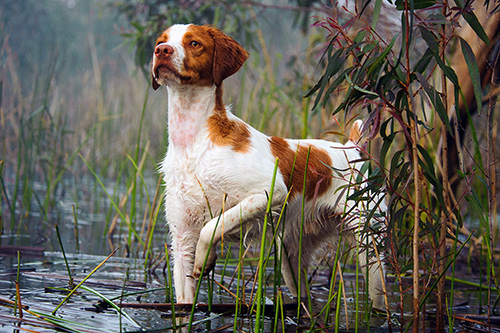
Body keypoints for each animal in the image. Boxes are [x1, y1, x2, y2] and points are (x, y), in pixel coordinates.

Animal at [152, 22, 386, 308]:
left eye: (194, 43)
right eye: (161, 41)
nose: (162, 51)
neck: (194, 142)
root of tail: (353, 147)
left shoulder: (271, 191)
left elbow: (214, 225)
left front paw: (205, 259)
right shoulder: (182, 238)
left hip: (370, 247)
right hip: (291, 256)